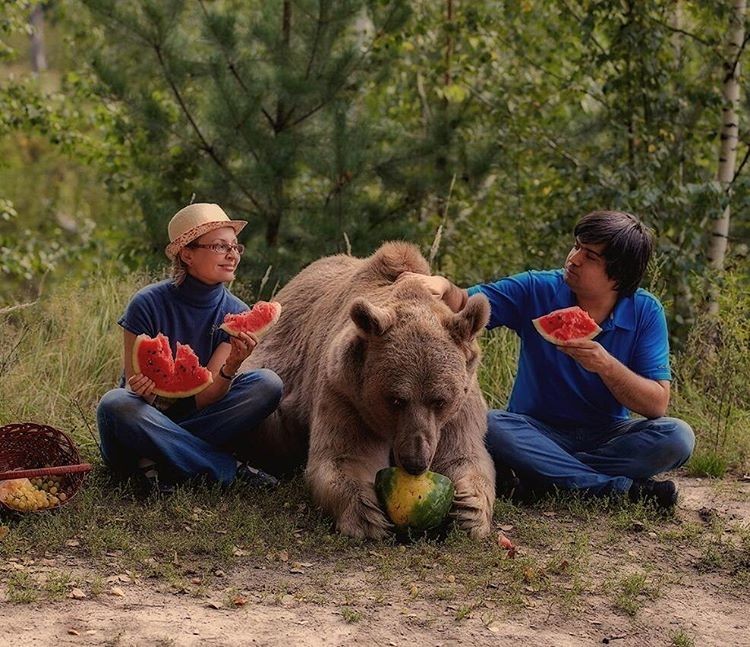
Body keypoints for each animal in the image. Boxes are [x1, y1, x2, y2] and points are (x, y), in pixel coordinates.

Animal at [242, 240, 500, 540]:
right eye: (396, 400)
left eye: (439, 400)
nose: (415, 462)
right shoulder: (345, 393)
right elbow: (344, 456)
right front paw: (367, 516)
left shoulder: (459, 407)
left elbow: (463, 454)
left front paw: (469, 512)